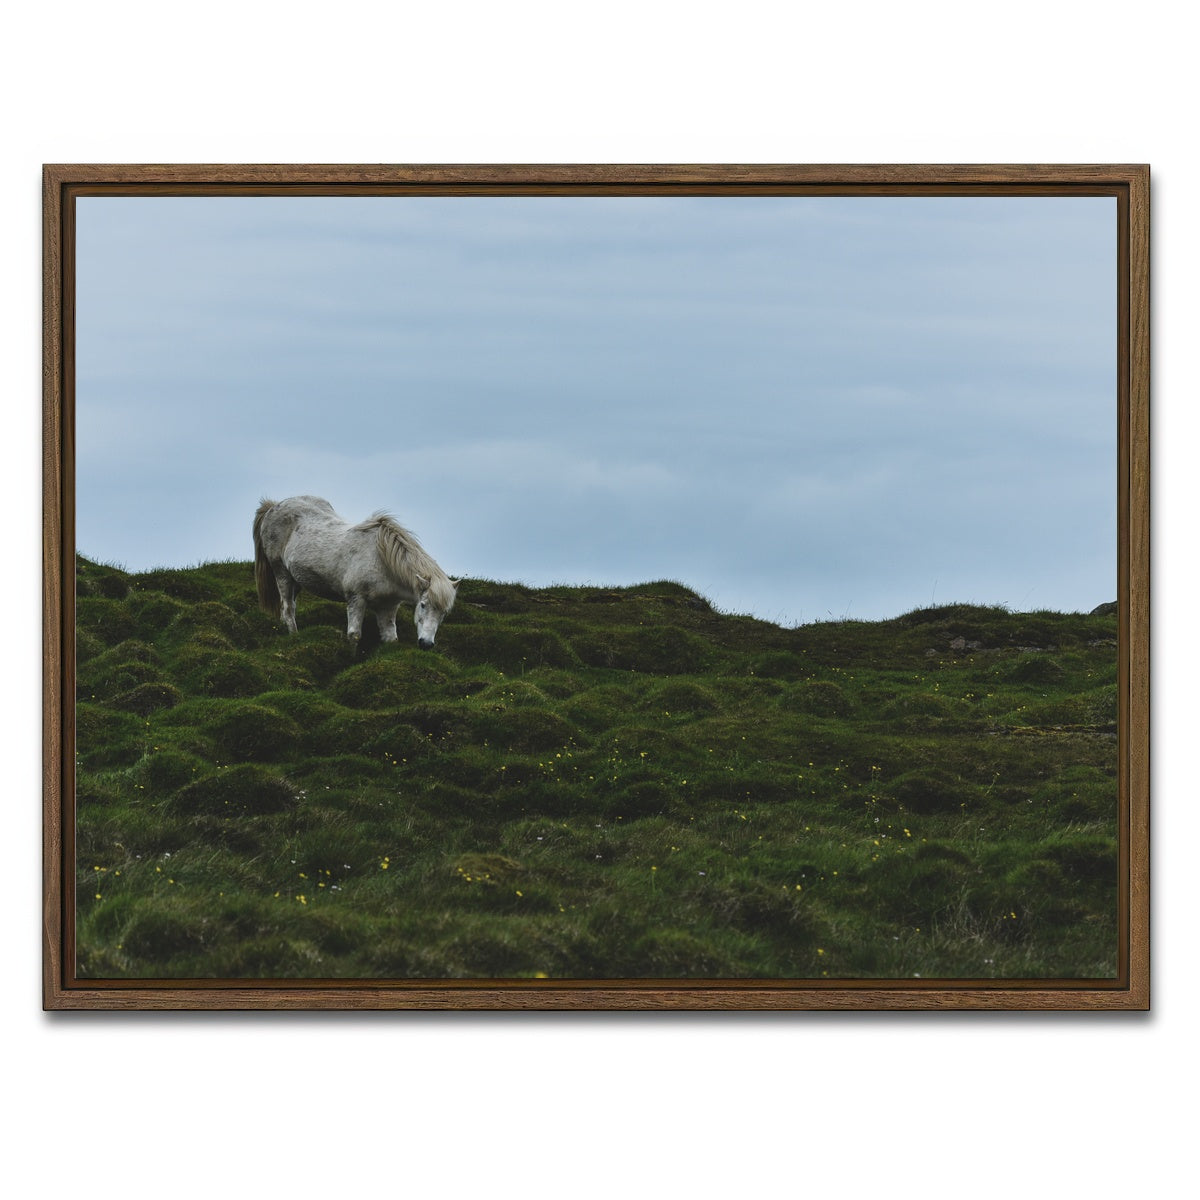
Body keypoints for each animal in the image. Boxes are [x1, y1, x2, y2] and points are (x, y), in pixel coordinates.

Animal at [253, 495, 459, 648]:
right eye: (423, 605)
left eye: (444, 613)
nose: (426, 644)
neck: (382, 561)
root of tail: (273, 506)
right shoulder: (356, 599)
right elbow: (354, 636)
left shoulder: (388, 607)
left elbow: (390, 639)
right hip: (281, 573)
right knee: (288, 608)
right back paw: (294, 636)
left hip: (296, 580)